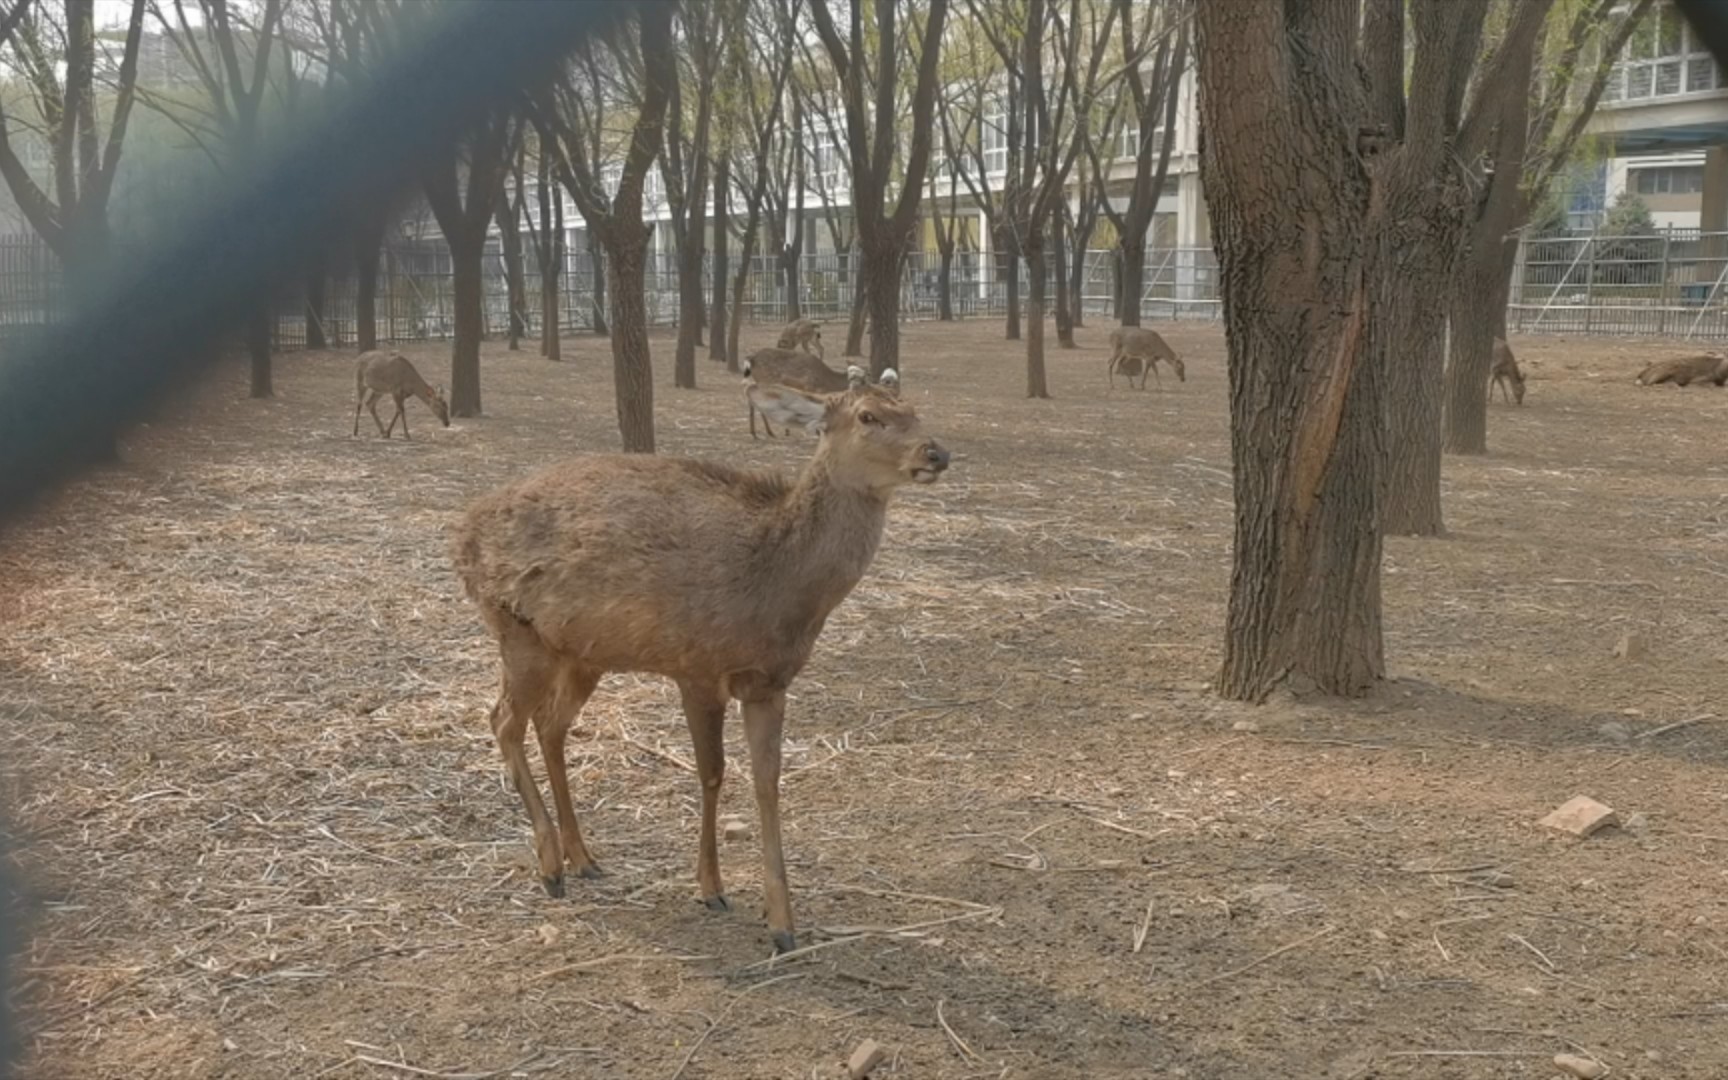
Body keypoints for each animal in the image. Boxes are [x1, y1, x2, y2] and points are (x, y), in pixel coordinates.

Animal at [452, 383, 953, 946]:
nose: (937, 453)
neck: (779, 591)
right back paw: (550, 865)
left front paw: (782, 922)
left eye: (912, 409)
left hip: (580, 654)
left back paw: (584, 858)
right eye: (868, 416)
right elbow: (711, 773)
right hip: (517, 632)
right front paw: (711, 887)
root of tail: (461, 535)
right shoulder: (695, 668)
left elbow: (767, 783)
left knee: (549, 725)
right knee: (503, 720)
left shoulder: (769, 683)